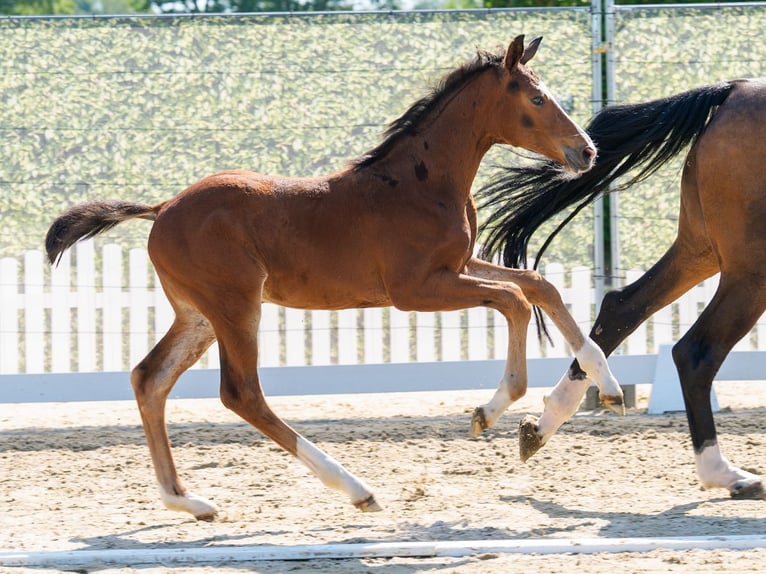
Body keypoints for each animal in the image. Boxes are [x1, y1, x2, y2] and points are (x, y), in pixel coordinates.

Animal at [45, 36, 623, 521]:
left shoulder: (457, 266)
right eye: (538, 99)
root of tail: (163, 208)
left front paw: (608, 387)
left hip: (198, 315)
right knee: (241, 393)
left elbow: (536, 284)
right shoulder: (415, 290)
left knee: (150, 378)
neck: (423, 182)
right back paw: (357, 489)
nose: (587, 151)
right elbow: (513, 300)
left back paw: (188, 501)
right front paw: (489, 410)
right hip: (235, 305)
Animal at [478, 78, 766, 499]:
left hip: (700, 250)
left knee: (622, 306)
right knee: (696, 351)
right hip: (748, 270)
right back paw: (725, 473)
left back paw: (543, 425)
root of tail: (736, 89)